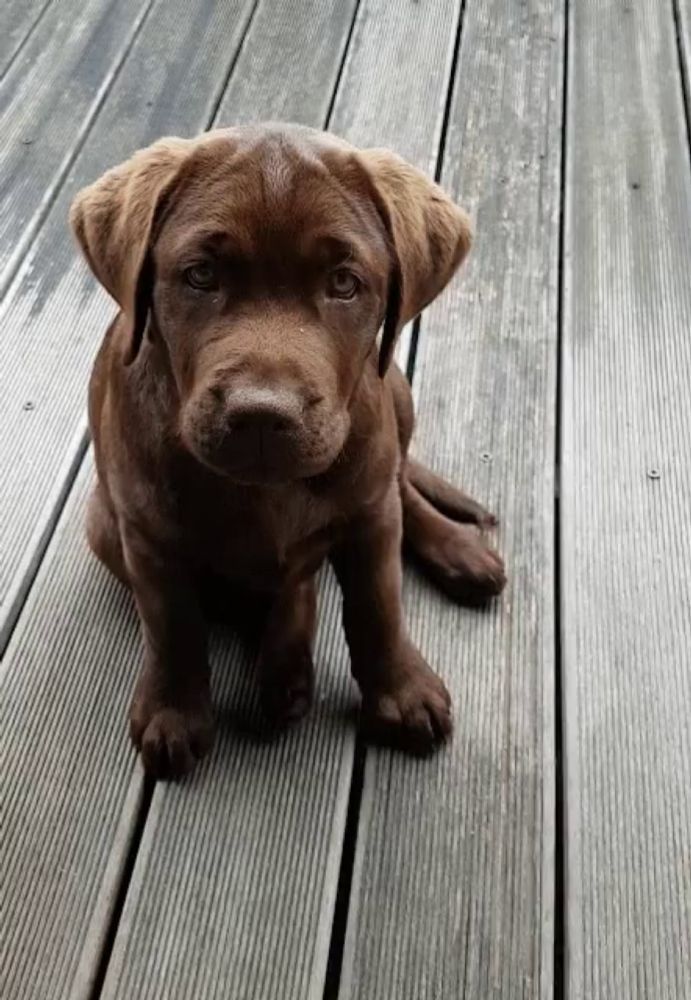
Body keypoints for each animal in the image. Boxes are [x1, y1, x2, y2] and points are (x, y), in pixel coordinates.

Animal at [70, 125, 506, 776]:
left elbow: (378, 607)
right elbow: (173, 626)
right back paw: (285, 671)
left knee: (394, 486)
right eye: (200, 275)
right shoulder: (148, 534)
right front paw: (174, 713)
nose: (261, 415)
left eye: (344, 284)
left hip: (395, 397)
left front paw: (402, 693)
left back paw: (457, 551)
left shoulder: (370, 516)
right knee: (290, 579)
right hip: (103, 521)